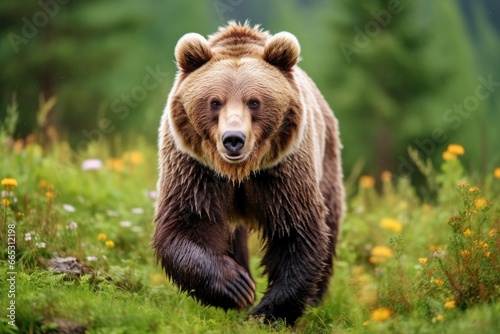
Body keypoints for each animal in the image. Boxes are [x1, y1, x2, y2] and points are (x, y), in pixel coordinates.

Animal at [153, 21, 344, 326]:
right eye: (215, 102)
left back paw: (316, 298)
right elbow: (187, 223)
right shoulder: (196, 169)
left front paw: (266, 312)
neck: (239, 173)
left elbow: (297, 232)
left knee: (331, 219)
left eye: (254, 102)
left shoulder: (282, 172)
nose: (234, 139)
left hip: (326, 160)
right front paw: (237, 287)